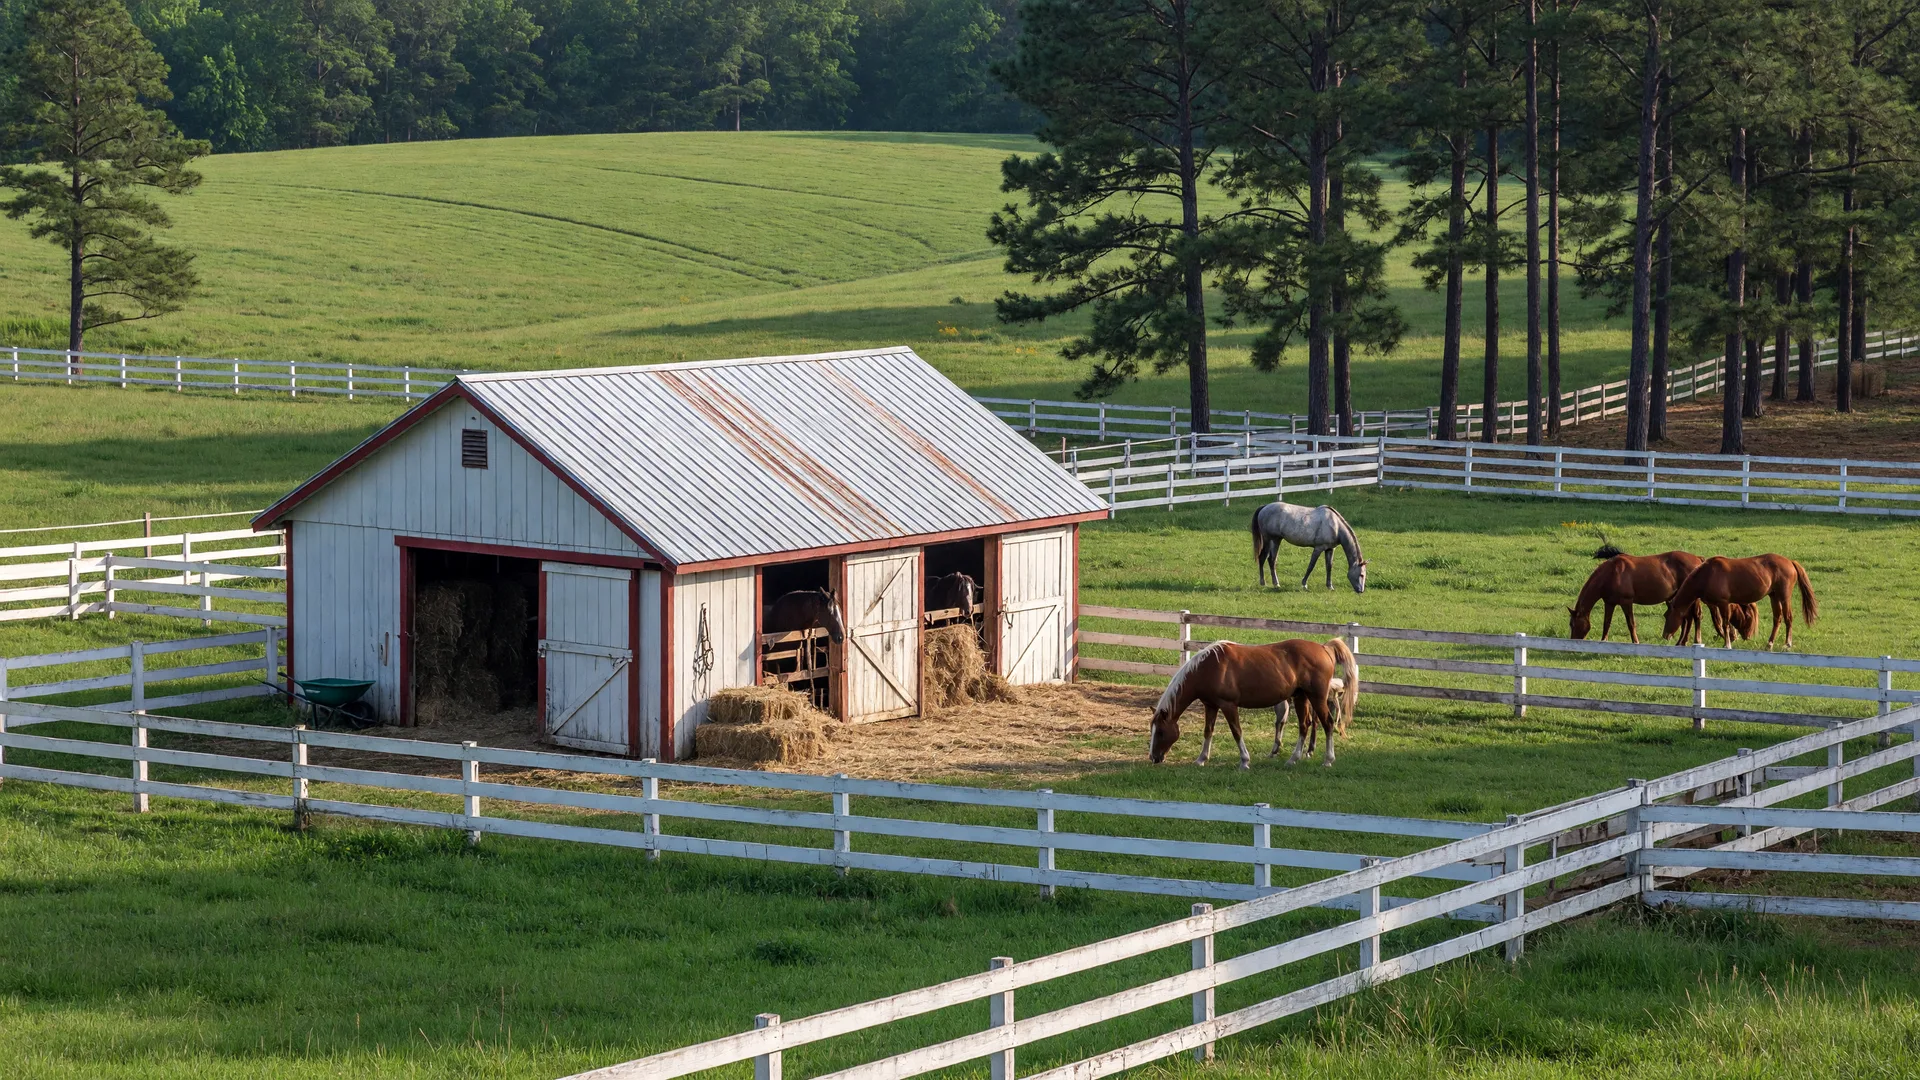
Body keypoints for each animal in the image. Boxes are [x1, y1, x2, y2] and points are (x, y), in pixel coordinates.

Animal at [1147, 637, 1357, 769]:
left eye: (1162, 732)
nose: (1153, 758)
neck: (1208, 667)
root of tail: (1324, 648)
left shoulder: (1228, 705)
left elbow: (1237, 732)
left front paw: (1244, 761)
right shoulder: (1211, 705)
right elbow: (1208, 732)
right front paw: (1201, 759)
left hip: (1317, 697)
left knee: (1327, 723)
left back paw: (1328, 760)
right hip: (1301, 697)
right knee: (1304, 725)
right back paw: (1293, 759)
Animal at [1567, 547, 1702, 643]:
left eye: (1572, 624)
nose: (1572, 641)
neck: (1612, 573)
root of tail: (1698, 559)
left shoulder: (1626, 602)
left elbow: (1631, 623)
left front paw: (1635, 641)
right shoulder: (1609, 603)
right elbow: (1606, 623)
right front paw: (1603, 640)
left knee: (1695, 616)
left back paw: (1695, 640)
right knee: (1685, 618)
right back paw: (1681, 642)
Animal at [1661, 555, 1818, 650]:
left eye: (1666, 616)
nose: (1665, 635)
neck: (1707, 574)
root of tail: (1790, 562)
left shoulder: (1723, 603)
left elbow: (1725, 624)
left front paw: (1727, 644)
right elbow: (1727, 624)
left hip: (1784, 597)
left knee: (1788, 618)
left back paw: (1787, 644)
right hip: (1773, 596)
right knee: (1777, 619)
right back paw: (1769, 644)